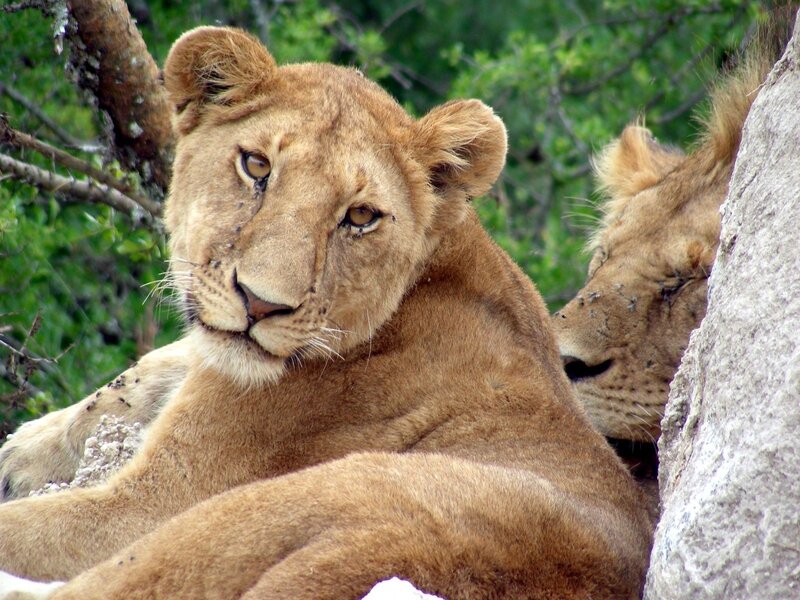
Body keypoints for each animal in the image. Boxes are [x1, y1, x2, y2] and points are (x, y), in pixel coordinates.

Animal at [0, 27, 650, 599]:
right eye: (256, 166)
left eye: (360, 216)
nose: (261, 302)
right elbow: (143, 372)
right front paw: (21, 452)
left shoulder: (151, 501)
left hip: (292, 501)